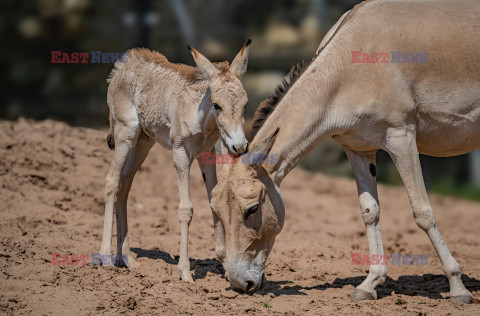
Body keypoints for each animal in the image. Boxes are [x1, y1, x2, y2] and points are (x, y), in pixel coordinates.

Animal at [101, 40, 251, 282]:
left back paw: (127, 259)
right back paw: (105, 258)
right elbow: (185, 209)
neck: (200, 116)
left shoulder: (206, 154)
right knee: (111, 182)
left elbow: (214, 199)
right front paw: (185, 272)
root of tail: (124, 63)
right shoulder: (180, 154)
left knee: (124, 184)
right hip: (125, 136)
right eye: (217, 105)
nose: (239, 146)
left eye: (245, 104)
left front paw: (226, 267)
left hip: (143, 143)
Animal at [210, 0, 480, 304]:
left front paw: (458, 287)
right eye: (215, 211)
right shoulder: (358, 148)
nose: (239, 283)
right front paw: (369, 283)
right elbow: (369, 212)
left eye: (253, 209)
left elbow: (422, 211)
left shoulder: (401, 138)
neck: (350, 66)